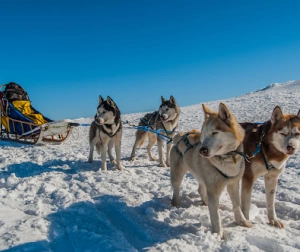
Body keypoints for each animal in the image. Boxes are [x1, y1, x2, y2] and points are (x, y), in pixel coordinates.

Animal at [170, 102, 252, 236]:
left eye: (215, 133)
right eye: (204, 134)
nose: (202, 150)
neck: (227, 158)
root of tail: (180, 136)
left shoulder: (233, 184)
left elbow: (236, 205)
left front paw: (242, 221)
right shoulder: (213, 190)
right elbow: (216, 217)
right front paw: (218, 235)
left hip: (203, 177)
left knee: (201, 190)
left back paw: (207, 202)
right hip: (177, 175)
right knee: (176, 189)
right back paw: (174, 203)